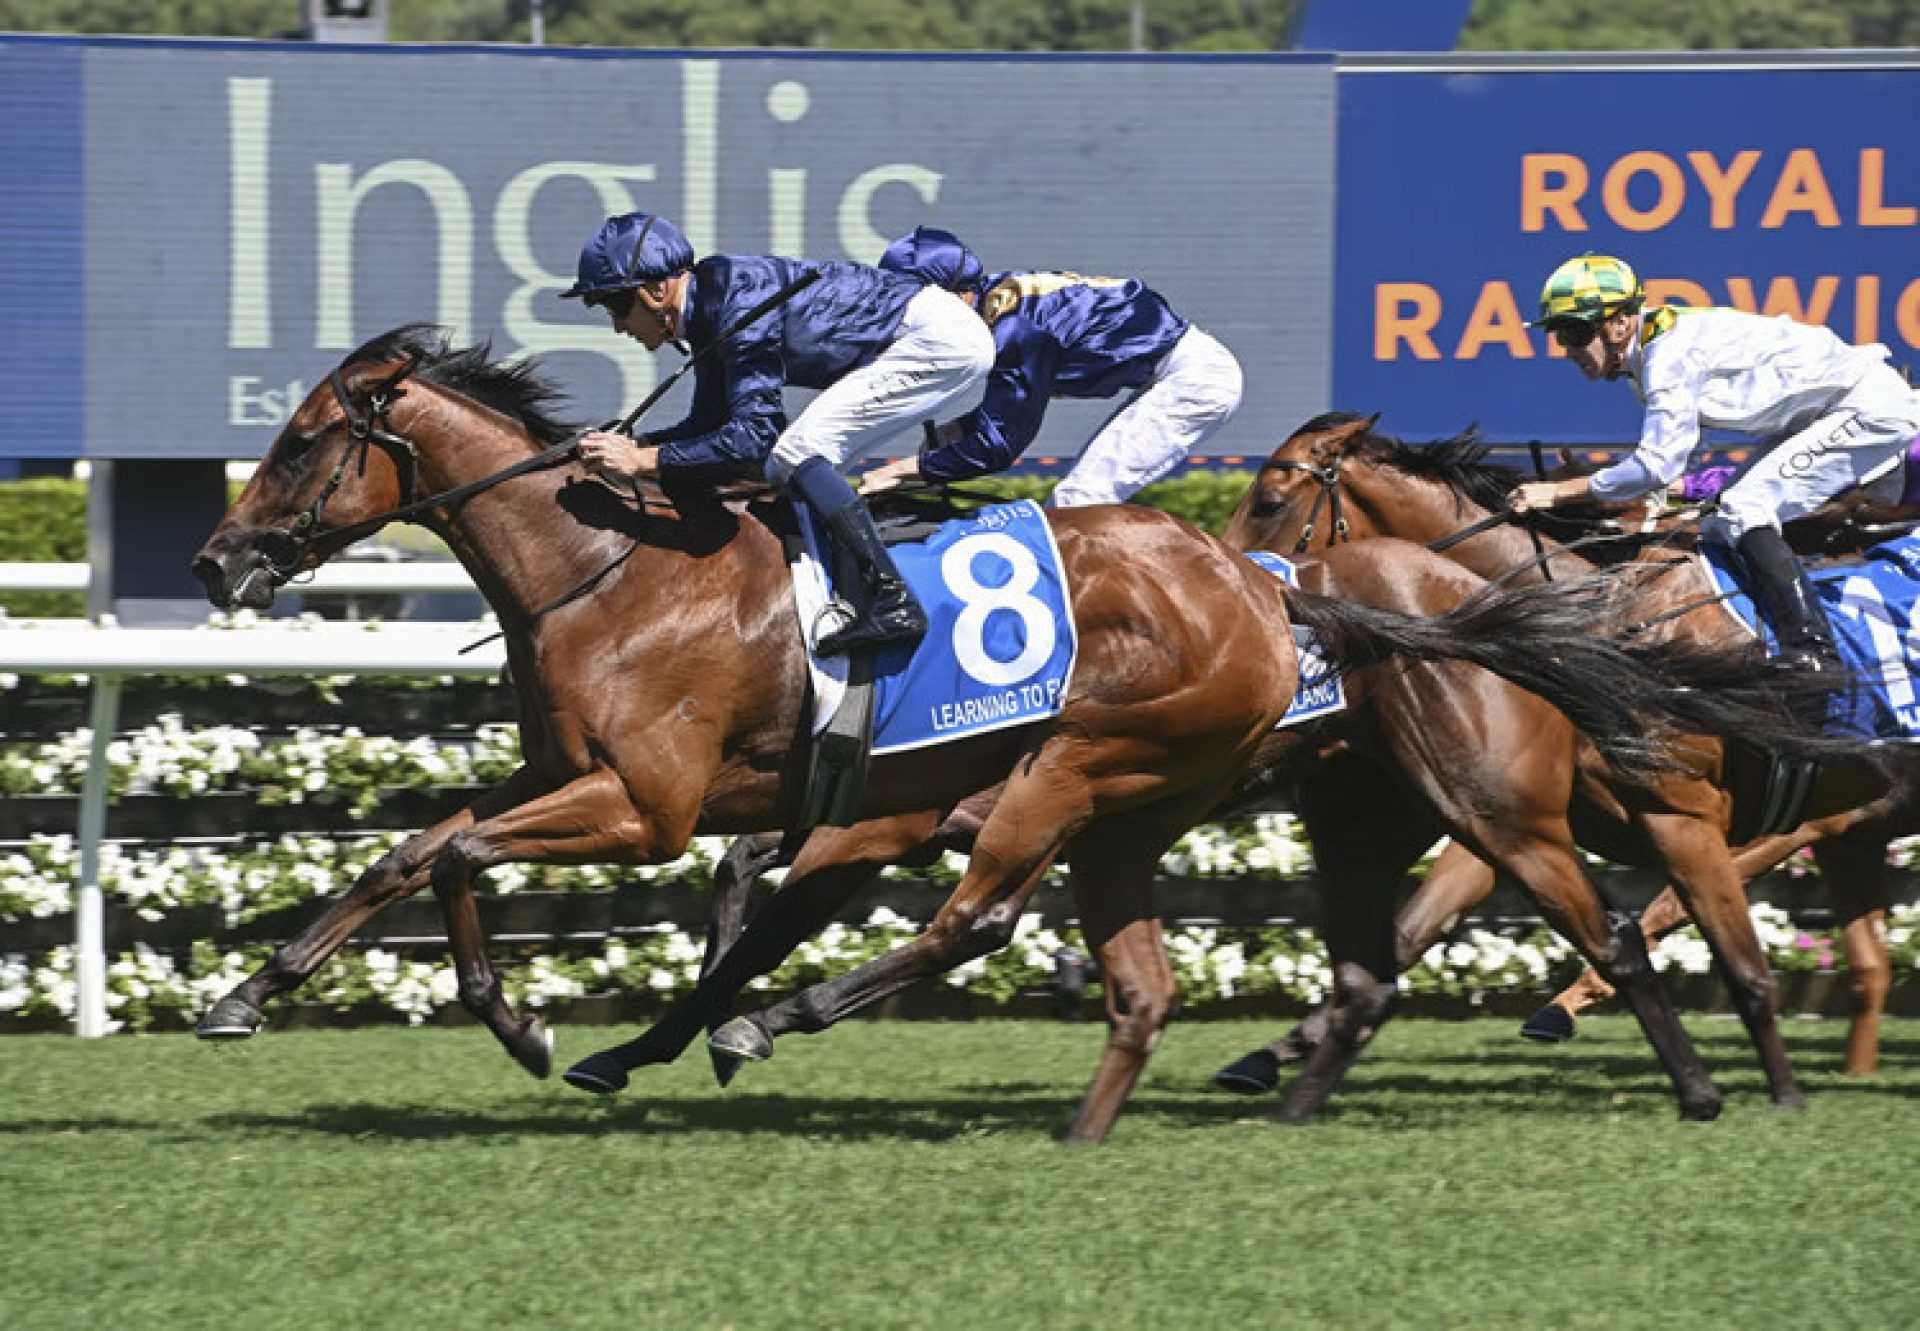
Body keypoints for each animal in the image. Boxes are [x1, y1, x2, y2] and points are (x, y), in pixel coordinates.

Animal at [191, 326, 1797, 1137]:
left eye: (300, 440)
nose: (218, 560)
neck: (617, 571)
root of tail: (1270, 595)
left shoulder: (654, 806)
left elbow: (465, 855)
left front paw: (506, 1018)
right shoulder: (605, 781)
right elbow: (423, 849)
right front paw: (281, 990)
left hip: (1326, 785)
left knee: (1617, 924)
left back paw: (1722, 1079)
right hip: (1273, 806)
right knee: (1315, 966)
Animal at [1213, 412, 1889, 1090]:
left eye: (1269, 502)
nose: (1238, 588)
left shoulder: (1681, 812)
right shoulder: (1520, 811)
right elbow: (1411, 928)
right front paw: (1264, 1057)